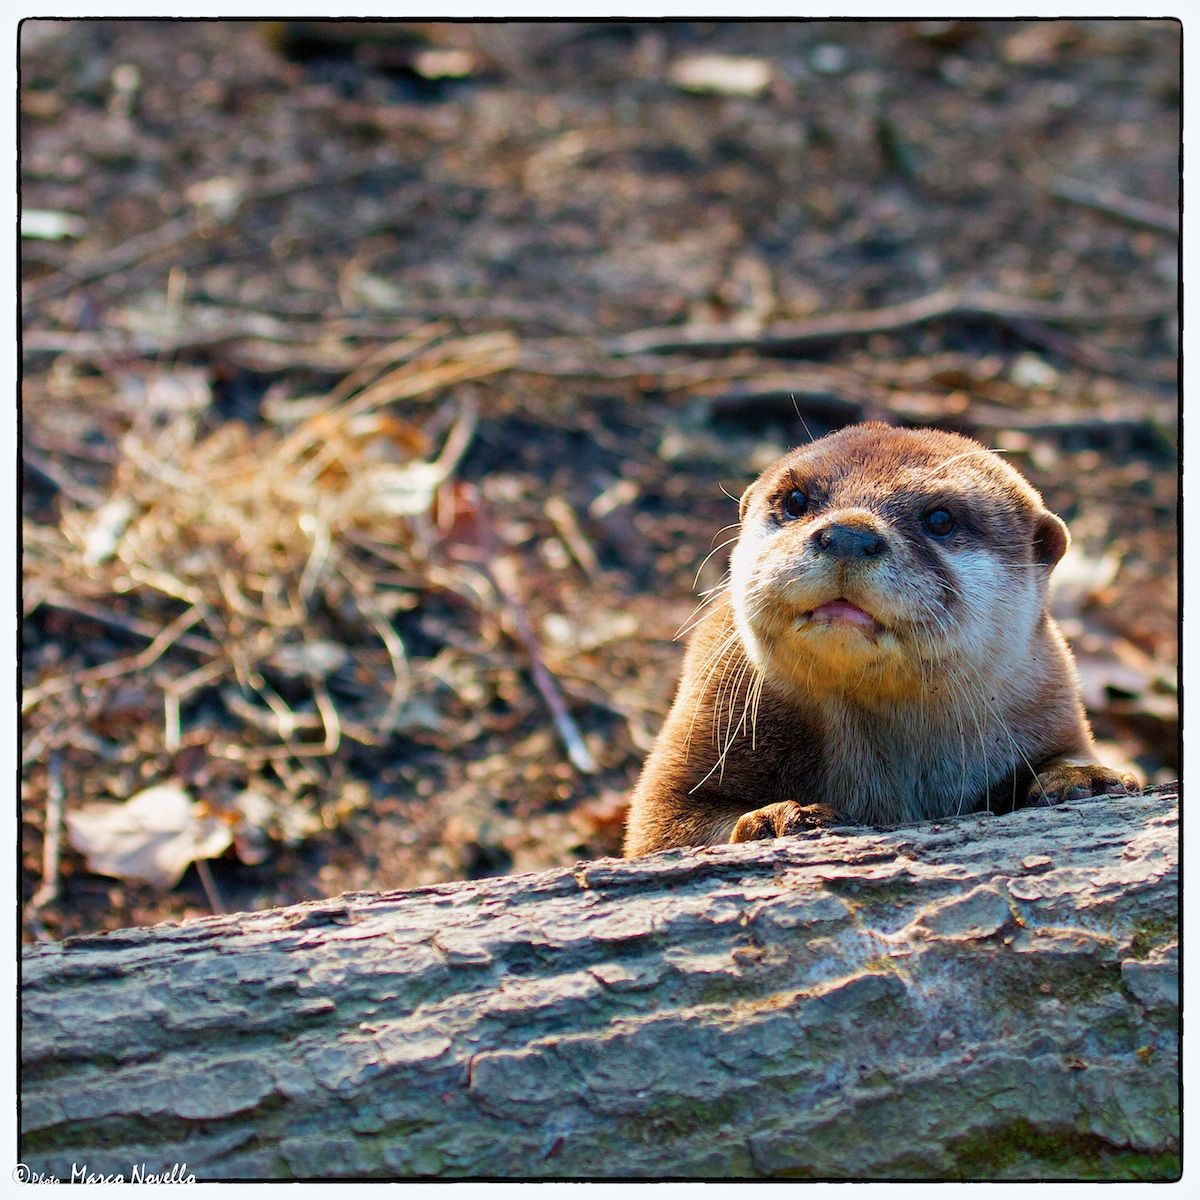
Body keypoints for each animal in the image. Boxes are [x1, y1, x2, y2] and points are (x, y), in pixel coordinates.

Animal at [624, 422, 1138, 857]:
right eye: (795, 500)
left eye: (939, 519)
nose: (849, 535)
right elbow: (664, 830)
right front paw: (776, 818)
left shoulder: (1051, 704)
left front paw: (1084, 777)